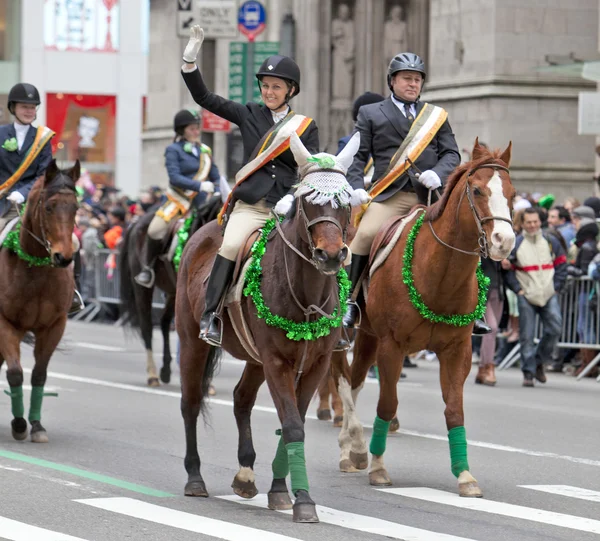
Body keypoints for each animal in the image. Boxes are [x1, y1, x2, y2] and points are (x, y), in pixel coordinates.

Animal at [0, 159, 79, 442]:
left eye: (76, 207)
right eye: (48, 207)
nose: (63, 257)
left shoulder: (54, 326)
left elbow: (39, 375)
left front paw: (36, 425)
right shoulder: (5, 323)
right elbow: (14, 374)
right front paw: (19, 424)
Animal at [118, 194, 221, 384]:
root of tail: (136, 222)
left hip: (173, 294)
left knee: (165, 322)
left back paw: (166, 369)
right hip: (143, 289)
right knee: (147, 327)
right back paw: (153, 374)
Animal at [176, 132, 358, 524]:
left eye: (345, 202)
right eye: (307, 201)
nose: (331, 255)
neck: (306, 294)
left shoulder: (315, 364)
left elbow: (294, 422)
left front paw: (281, 491)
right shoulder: (277, 361)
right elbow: (291, 424)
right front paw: (303, 500)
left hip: (254, 359)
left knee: (241, 399)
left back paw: (245, 475)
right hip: (193, 342)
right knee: (191, 402)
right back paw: (195, 478)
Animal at [332, 140, 516, 498]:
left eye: (512, 193)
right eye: (477, 190)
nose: (505, 242)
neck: (439, 276)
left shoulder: (457, 350)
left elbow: (454, 409)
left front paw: (465, 476)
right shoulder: (391, 346)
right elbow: (387, 404)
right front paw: (379, 468)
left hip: (370, 337)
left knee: (356, 380)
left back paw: (352, 448)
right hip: (353, 335)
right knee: (348, 382)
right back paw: (351, 448)